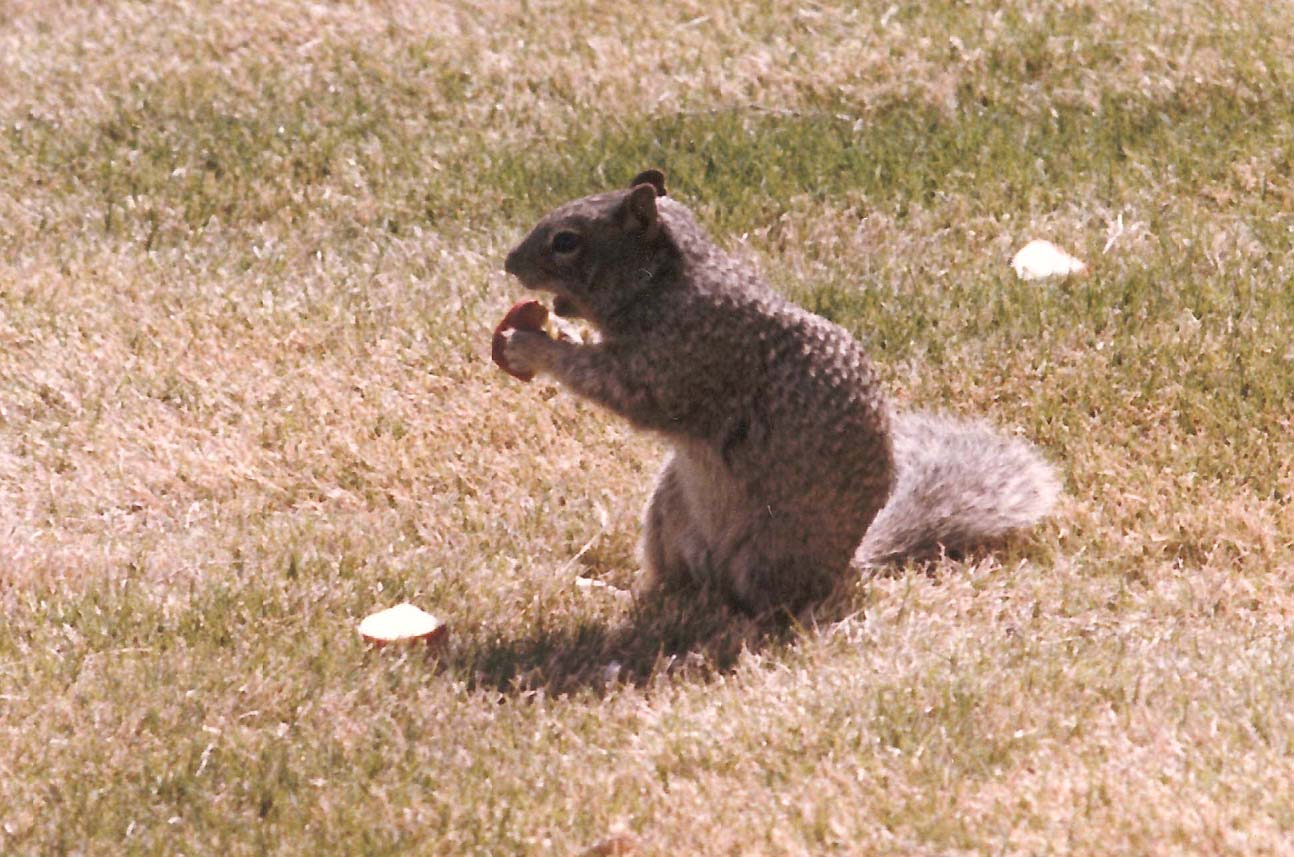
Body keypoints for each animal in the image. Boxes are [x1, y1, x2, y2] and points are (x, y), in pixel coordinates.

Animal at [499, 170, 1055, 618]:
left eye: (567, 241)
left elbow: (622, 388)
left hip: (770, 549)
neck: (665, 283)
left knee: (762, 601)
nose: (509, 263)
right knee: (676, 584)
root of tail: (846, 566)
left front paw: (531, 345)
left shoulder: (684, 358)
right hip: (665, 516)